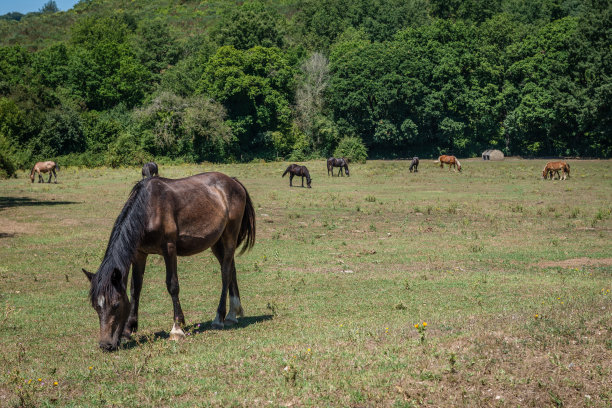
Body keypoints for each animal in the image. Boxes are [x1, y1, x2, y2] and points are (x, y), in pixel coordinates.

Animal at [82, 172, 255, 350]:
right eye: (95, 306)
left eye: (116, 304)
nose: (105, 345)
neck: (149, 209)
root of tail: (233, 181)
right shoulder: (139, 253)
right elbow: (135, 289)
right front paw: (128, 330)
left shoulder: (169, 248)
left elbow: (172, 285)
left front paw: (177, 329)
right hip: (216, 242)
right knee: (231, 268)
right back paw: (233, 314)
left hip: (229, 236)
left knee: (226, 272)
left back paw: (219, 318)